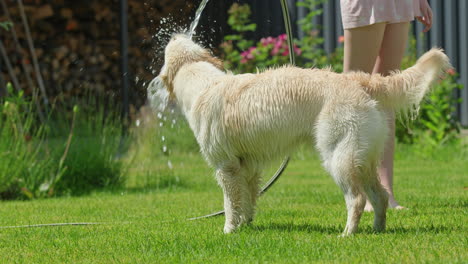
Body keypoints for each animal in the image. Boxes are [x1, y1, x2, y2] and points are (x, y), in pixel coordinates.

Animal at [153, 33, 450, 235]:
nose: (174, 34)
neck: (201, 80)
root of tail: (360, 80)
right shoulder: (247, 167)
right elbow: (248, 199)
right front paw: (247, 225)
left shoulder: (226, 167)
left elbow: (230, 203)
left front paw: (229, 230)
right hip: (364, 159)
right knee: (380, 197)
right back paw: (377, 230)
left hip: (338, 157)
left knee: (357, 199)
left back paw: (347, 234)